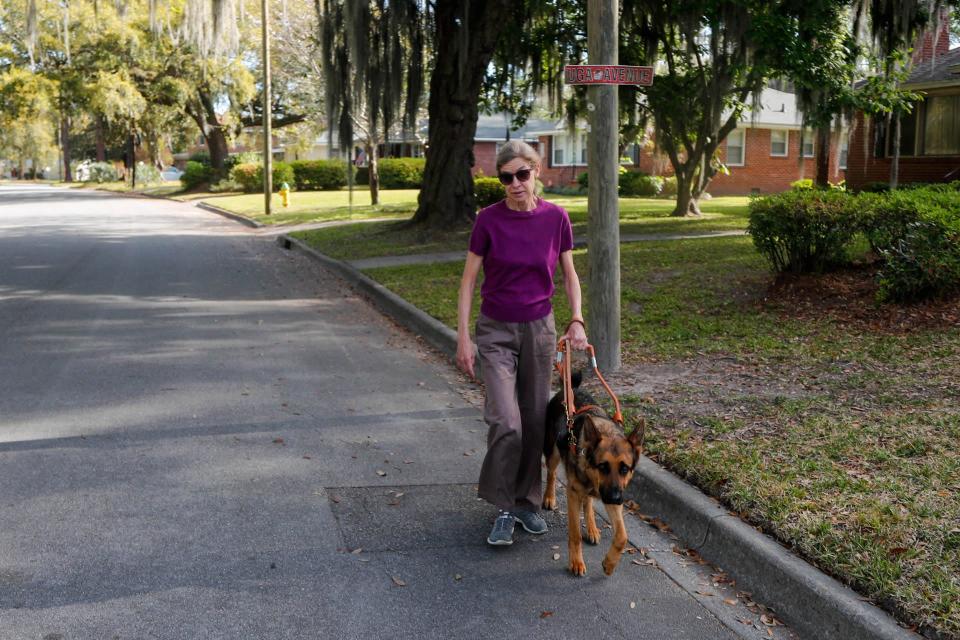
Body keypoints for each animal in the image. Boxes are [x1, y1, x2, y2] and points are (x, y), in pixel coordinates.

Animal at [544, 370, 640, 576]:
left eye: (624, 469)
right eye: (602, 466)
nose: (615, 498)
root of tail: (571, 388)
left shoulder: (612, 495)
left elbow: (622, 536)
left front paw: (610, 563)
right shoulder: (573, 494)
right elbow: (575, 534)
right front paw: (576, 562)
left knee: (588, 501)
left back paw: (592, 528)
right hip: (552, 454)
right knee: (551, 474)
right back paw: (549, 497)